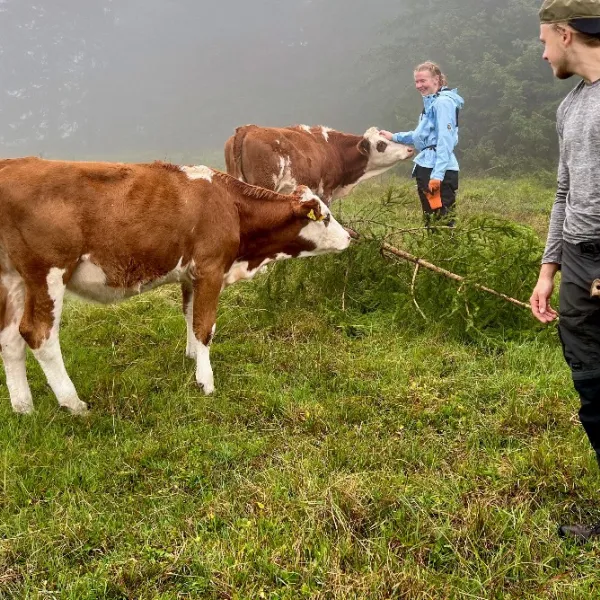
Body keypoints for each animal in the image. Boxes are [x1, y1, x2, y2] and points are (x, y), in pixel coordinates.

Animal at [0, 157, 352, 414]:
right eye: (325, 217)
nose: (351, 236)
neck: (230, 205)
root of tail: (12, 164)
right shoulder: (211, 268)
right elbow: (205, 326)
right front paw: (206, 381)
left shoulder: (190, 274)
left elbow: (189, 315)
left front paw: (192, 357)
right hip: (47, 273)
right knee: (39, 334)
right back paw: (73, 404)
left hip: (13, 279)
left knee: (10, 340)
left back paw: (24, 408)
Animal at [223, 123, 414, 204]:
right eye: (381, 144)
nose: (410, 149)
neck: (335, 149)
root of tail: (248, 128)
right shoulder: (326, 191)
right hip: (265, 184)